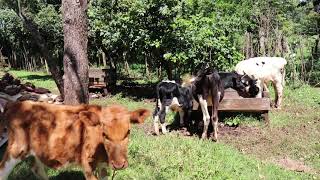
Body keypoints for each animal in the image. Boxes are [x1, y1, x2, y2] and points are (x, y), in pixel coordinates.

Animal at [0, 100, 149, 179]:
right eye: (104, 133)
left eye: (128, 132)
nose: (119, 165)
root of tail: (15, 103)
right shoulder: (88, 165)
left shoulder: (103, 166)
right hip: (16, 149)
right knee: (2, 170)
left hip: (38, 151)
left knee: (36, 168)